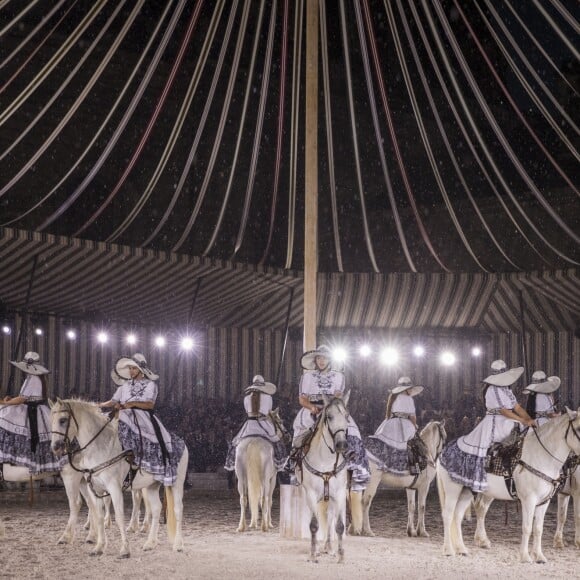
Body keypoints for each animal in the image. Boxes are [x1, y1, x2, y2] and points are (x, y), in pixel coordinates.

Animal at [50, 398, 188, 556]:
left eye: (63, 420)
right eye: (51, 420)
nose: (55, 447)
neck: (100, 447)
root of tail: (182, 443)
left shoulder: (113, 487)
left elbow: (119, 516)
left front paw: (125, 549)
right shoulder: (95, 489)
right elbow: (98, 515)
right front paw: (99, 547)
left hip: (176, 483)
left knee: (177, 509)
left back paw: (178, 544)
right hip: (152, 486)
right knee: (156, 508)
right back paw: (150, 543)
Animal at [296, 394, 352, 560]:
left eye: (346, 416)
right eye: (329, 416)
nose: (341, 444)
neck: (325, 461)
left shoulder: (339, 493)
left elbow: (339, 525)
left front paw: (340, 555)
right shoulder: (311, 493)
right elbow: (314, 525)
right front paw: (313, 553)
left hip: (331, 498)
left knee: (330, 517)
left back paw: (329, 547)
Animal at [438, 408, 580, 560]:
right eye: (578, 428)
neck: (541, 457)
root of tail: (444, 451)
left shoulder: (544, 502)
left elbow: (538, 528)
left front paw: (539, 557)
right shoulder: (529, 500)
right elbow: (527, 527)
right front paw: (525, 557)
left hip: (467, 491)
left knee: (458, 516)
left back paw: (462, 549)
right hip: (453, 491)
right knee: (448, 515)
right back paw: (449, 550)